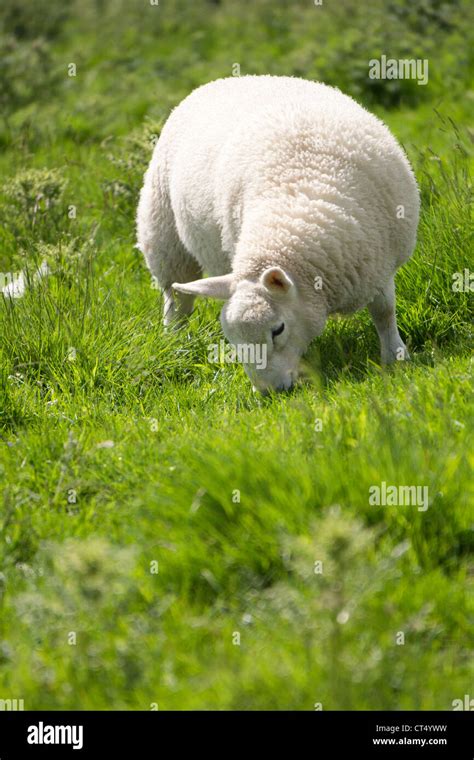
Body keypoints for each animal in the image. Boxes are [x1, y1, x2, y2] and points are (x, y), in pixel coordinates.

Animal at [136, 75, 418, 394]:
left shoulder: (380, 262)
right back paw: (174, 342)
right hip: (164, 238)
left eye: (278, 329)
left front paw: (395, 357)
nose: (268, 393)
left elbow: (384, 312)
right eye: (233, 340)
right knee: (176, 302)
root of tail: (227, 79)